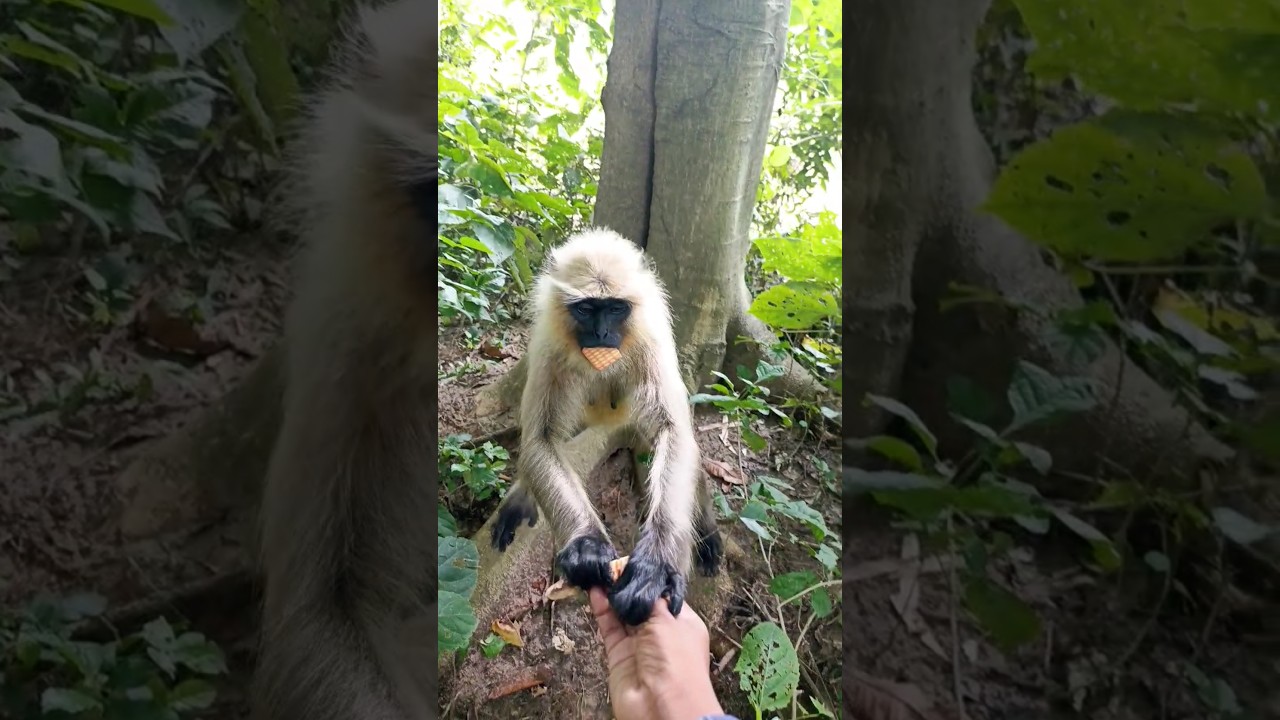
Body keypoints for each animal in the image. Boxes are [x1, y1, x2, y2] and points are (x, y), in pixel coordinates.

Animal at [490, 228, 723, 626]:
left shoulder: (651, 337)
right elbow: (541, 440)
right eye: (586, 309)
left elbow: (674, 432)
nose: (600, 334)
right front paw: (586, 543)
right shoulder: (549, 341)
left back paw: (705, 531)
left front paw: (656, 564)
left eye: (615, 308)